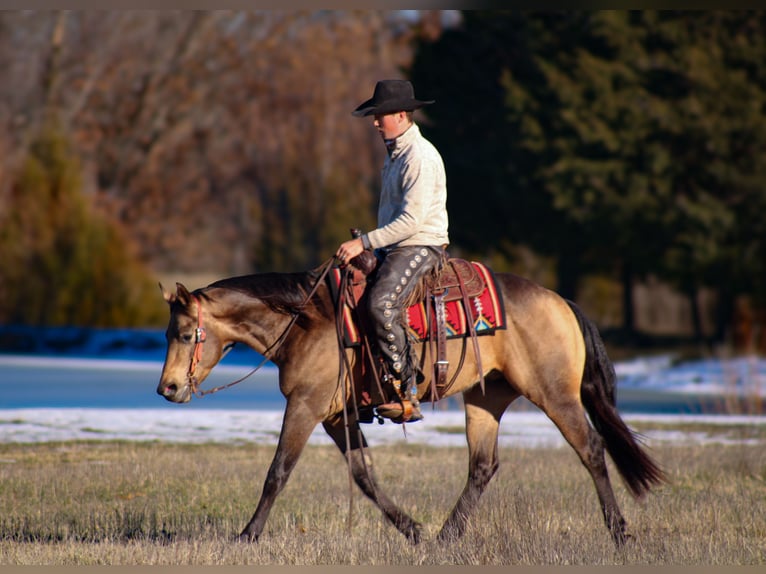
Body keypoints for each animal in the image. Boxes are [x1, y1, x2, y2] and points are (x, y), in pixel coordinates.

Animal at [158, 260, 664, 548]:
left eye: (184, 334)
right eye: (168, 333)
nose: (167, 389)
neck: (305, 320)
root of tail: (562, 302)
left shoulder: (305, 406)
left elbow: (277, 472)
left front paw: (247, 535)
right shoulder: (336, 416)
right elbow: (364, 476)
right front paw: (413, 530)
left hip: (554, 394)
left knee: (591, 450)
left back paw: (621, 533)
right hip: (487, 398)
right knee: (483, 466)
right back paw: (444, 537)